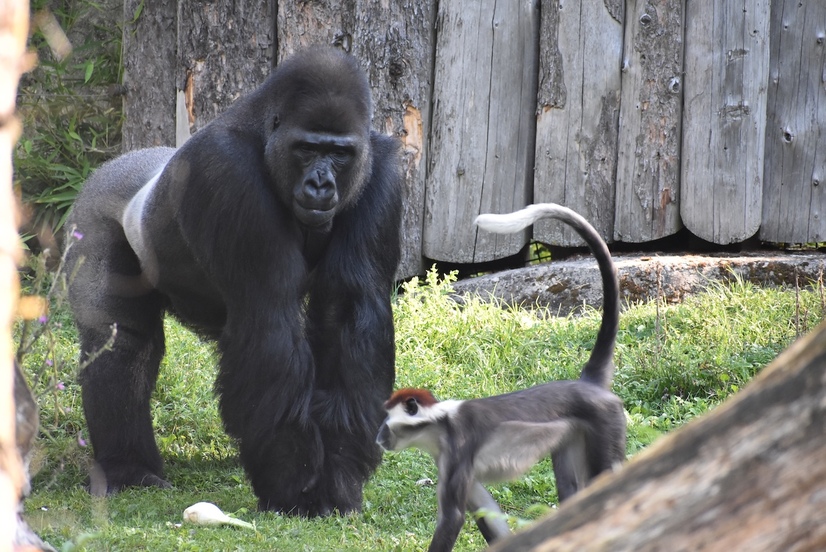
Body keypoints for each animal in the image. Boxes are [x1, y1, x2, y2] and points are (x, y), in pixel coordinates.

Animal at [376, 203, 626, 551]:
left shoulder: (458, 449)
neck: (440, 423)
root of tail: (588, 384)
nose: (379, 436)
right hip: (576, 433)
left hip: (606, 422)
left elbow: (453, 517)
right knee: (572, 490)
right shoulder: (446, 459)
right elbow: (484, 508)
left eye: (387, 421)